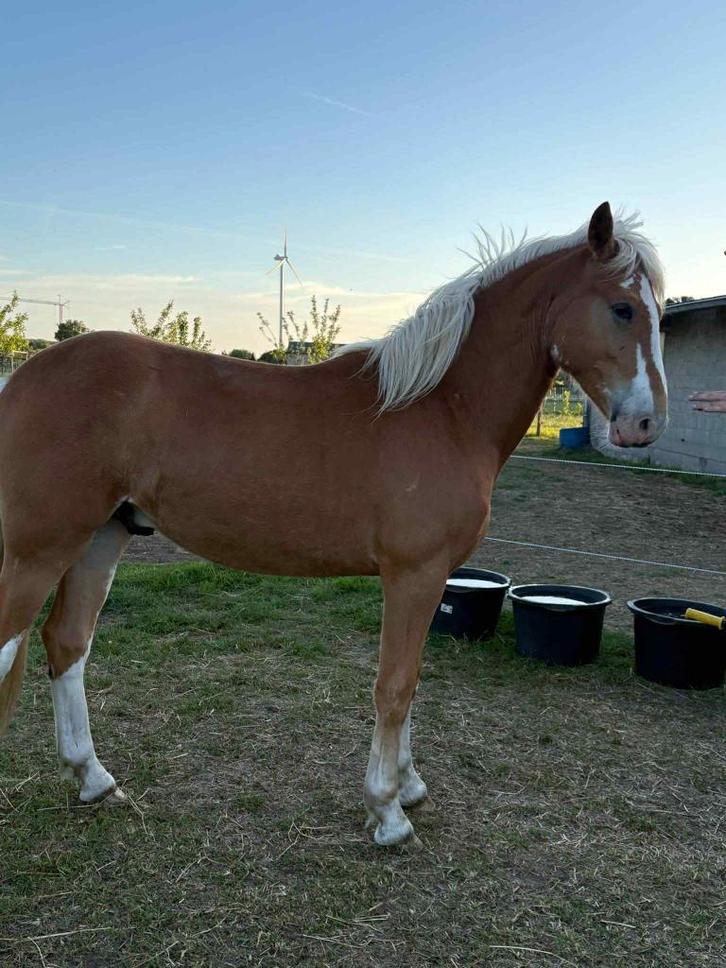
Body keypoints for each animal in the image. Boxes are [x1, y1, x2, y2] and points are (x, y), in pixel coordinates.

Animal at [0, 202, 667, 846]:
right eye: (622, 308)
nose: (645, 424)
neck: (442, 410)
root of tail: (22, 378)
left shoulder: (428, 580)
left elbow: (411, 680)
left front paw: (409, 785)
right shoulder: (414, 574)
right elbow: (394, 685)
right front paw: (388, 812)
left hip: (100, 538)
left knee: (67, 642)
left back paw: (94, 779)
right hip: (40, 550)